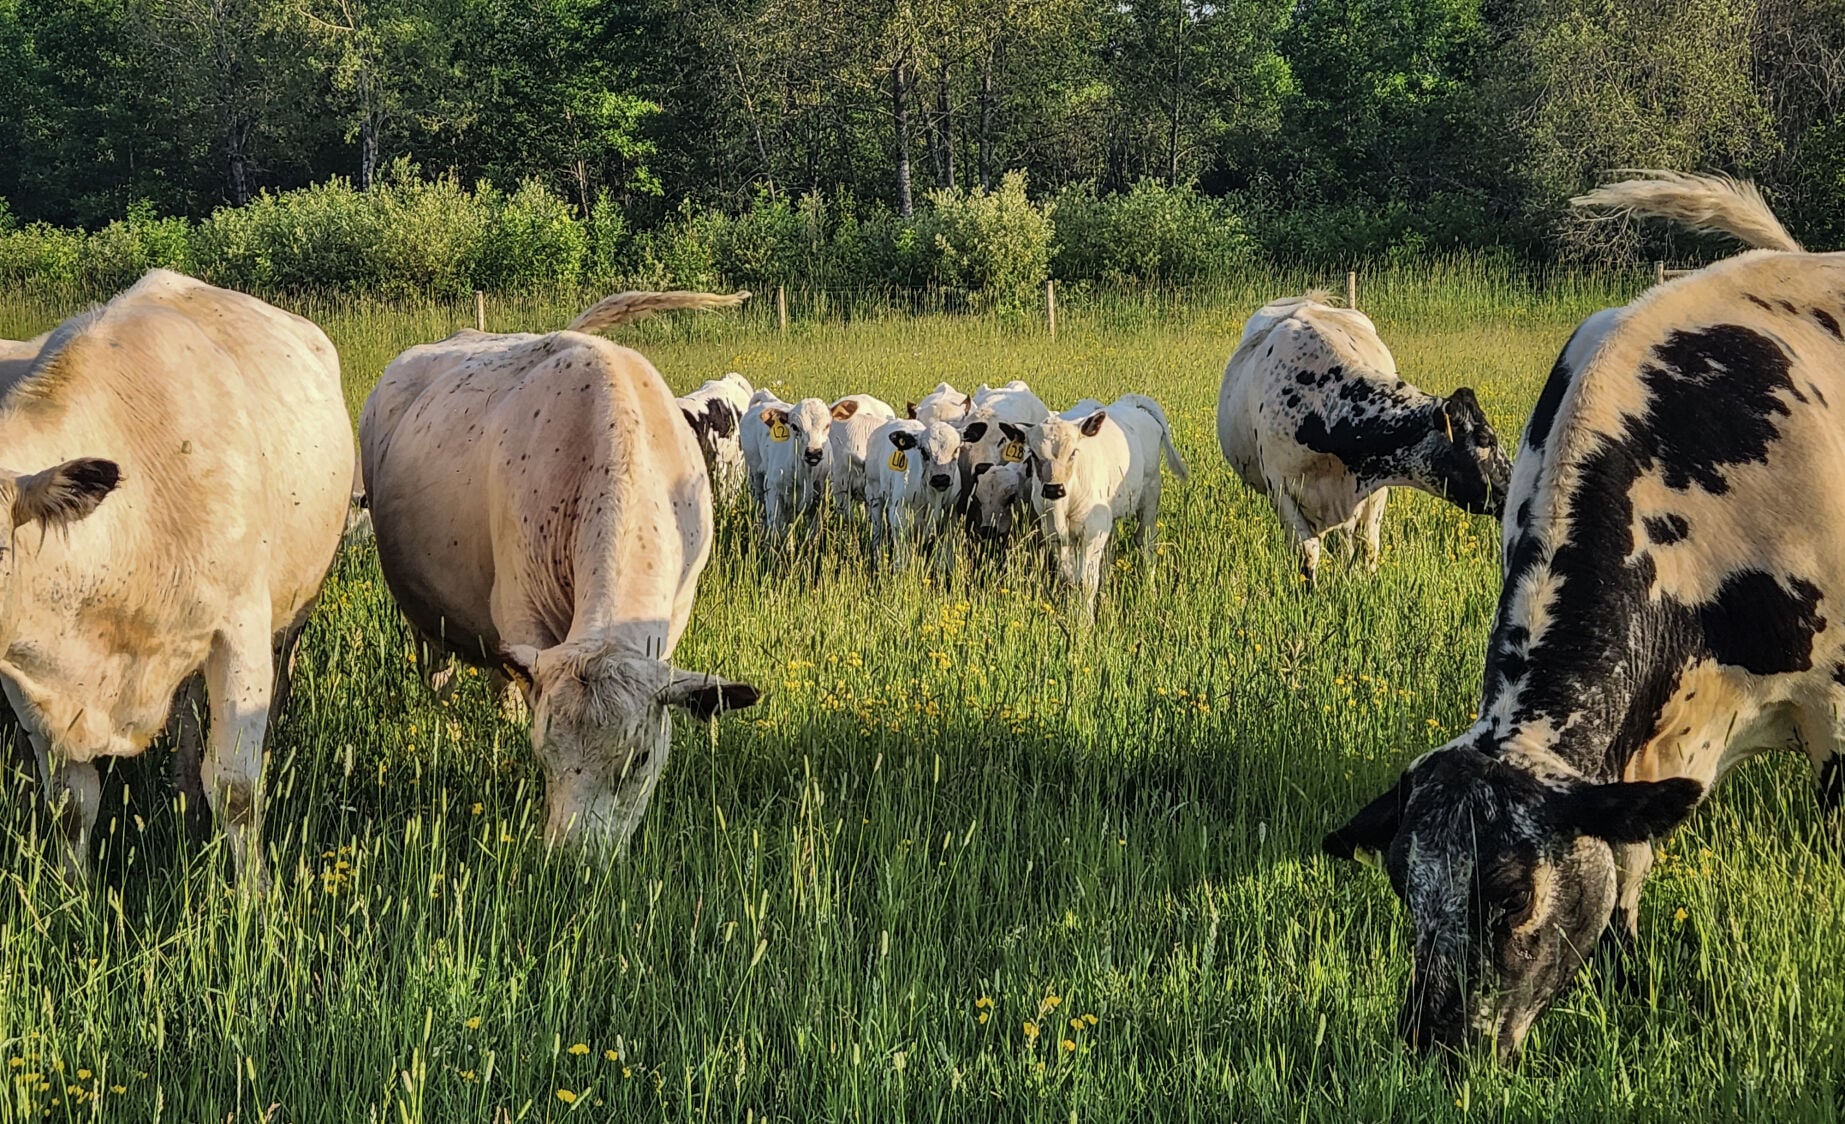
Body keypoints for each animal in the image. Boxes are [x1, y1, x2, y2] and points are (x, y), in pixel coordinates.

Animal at [0, 269, 353, 888]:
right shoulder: (31, 678)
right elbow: (70, 805)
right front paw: (73, 895)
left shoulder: (240, 630)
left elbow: (237, 789)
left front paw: (254, 898)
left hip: (291, 617)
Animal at [865, 419, 963, 570]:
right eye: (923, 451)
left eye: (956, 449)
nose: (941, 478)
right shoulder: (899, 517)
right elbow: (901, 560)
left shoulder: (950, 519)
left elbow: (946, 558)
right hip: (874, 492)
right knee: (877, 531)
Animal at [1026, 394, 1187, 618]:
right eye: (1033, 454)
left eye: (1073, 452)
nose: (1053, 489)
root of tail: (1130, 401)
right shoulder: (1054, 533)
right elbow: (1068, 578)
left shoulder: (1094, 530)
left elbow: (1086, 583)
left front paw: (1085, 622)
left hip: (1150, 496)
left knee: (1146, 543)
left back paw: (1149, 593)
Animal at [1216, 294, 1512, 581]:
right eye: (1486, 439)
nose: (1512, 489)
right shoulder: (1280, 488)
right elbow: (1308, 554)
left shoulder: (1375, 488)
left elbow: (1367, 550)